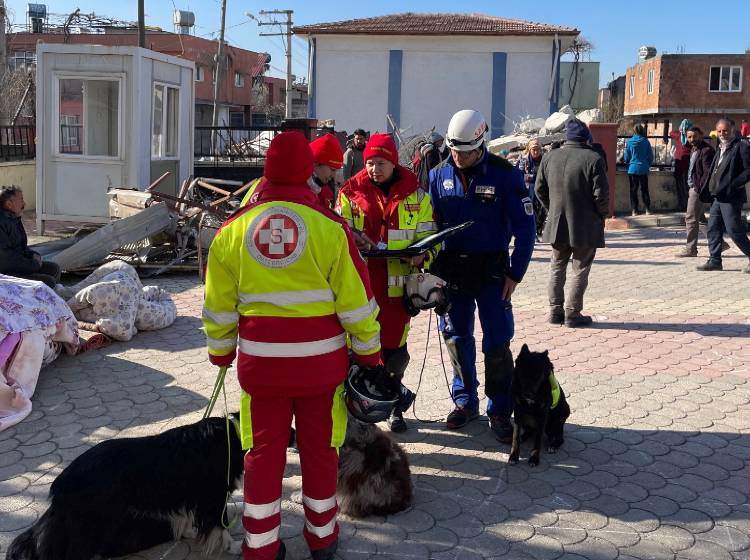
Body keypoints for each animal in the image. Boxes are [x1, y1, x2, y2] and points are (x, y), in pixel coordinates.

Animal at [8, 416, 244, 560]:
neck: (237, 433)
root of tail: (60, 483)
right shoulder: (213, 498)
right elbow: (222, 526)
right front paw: (234, 547)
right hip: (89, 524)